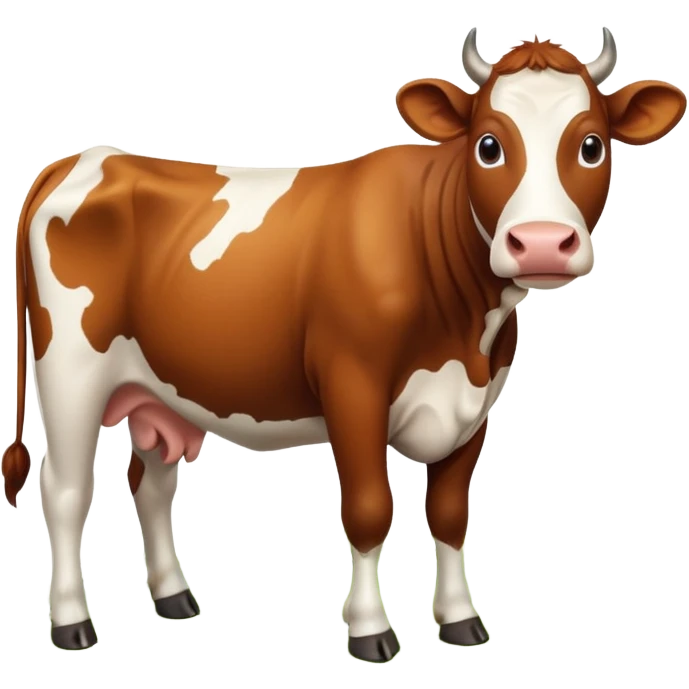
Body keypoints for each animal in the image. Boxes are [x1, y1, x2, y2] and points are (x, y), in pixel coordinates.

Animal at [2, 26, 686, 660]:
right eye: (489, 145)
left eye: (592, 144)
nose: (541, 243)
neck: (464, 329)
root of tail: (85, 158)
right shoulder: (352, 386)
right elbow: (368, 510)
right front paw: (370, 629)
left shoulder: (476, 403)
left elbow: (450, 516)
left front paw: (461, 621)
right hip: (69, 373)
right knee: (65, 490)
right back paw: (72, 623)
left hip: (158, 392)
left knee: (150, 479)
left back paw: (174, 596)